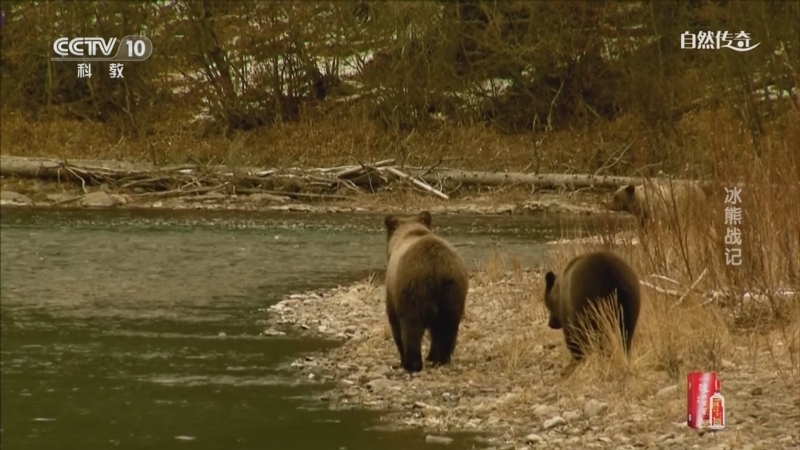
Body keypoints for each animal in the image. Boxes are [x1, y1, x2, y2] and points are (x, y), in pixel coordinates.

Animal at [383, 210, 469, 373]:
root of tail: (435, 266)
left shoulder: (392, 290)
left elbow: (395, 323)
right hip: (453, 289)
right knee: (448, 325)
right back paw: (441, 358)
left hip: (413, 288)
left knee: (411, 327)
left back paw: (412, 363)